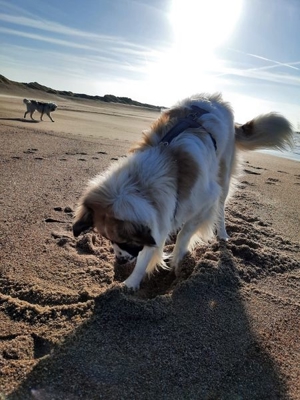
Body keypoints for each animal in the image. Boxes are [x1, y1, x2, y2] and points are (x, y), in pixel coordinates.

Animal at [72, 92, 292, 290]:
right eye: (109, 240)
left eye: (125, 241)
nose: (120, 261)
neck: (141, 181)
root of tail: (216, 100)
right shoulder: (158, 217)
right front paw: (131, 283)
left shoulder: (205, 201)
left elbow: (184, 235)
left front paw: (175, 264)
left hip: (223, 175)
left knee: (221, 208)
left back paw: (222, 233)